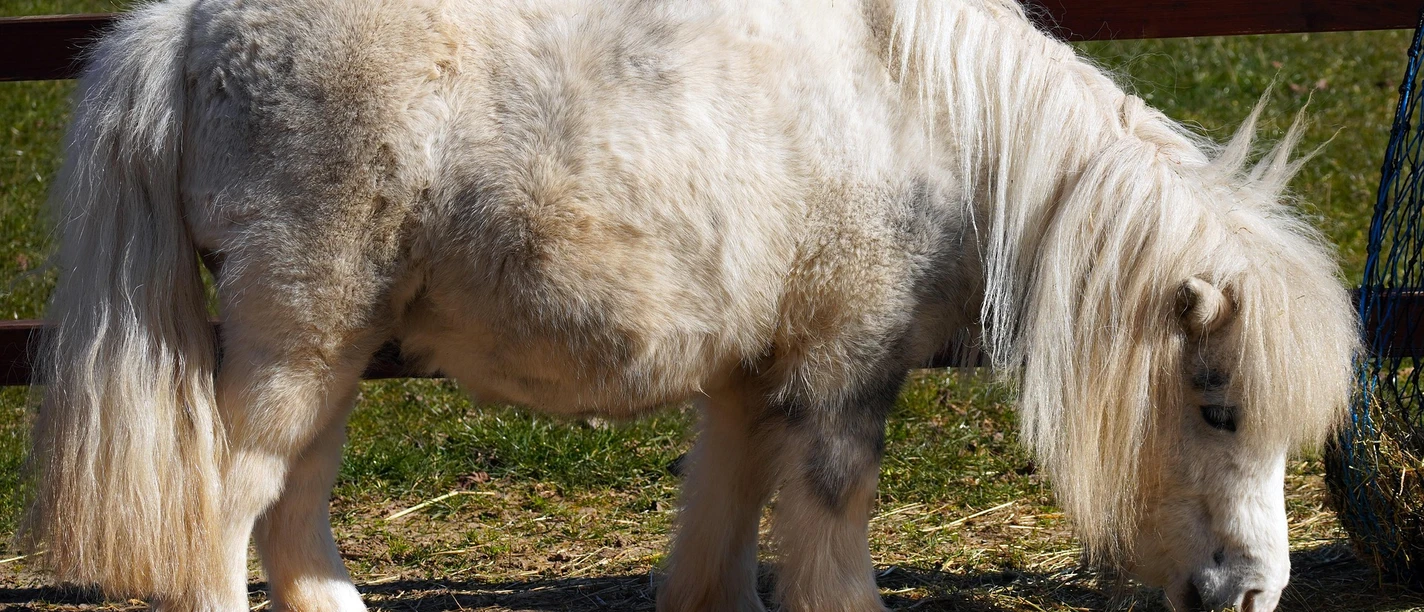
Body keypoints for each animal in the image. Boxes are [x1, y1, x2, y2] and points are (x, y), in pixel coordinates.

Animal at [20, 0, 1359, 610]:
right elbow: (828, 526)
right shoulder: (845, 368)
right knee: (226, 505)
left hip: (331, 355)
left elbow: (720, 523)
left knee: (293, 508)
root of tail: (187, 28)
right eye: (1217, 409)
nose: (1253, 592)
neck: (939, 125)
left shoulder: (746, 377)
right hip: (302, 338)